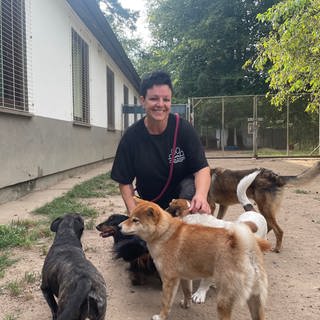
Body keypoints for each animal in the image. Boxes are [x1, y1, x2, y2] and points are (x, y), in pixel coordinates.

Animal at [120, 198, 270, 320]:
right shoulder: (184, 277)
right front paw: (186, 304)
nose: (119, 226)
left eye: (135, 220)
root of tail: (247, 247)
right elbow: (187, 292)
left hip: (224, 301)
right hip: (255, 300)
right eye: (129, 216)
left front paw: (161, 316)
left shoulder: (169, 280)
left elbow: (165, 302)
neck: (165, 233)